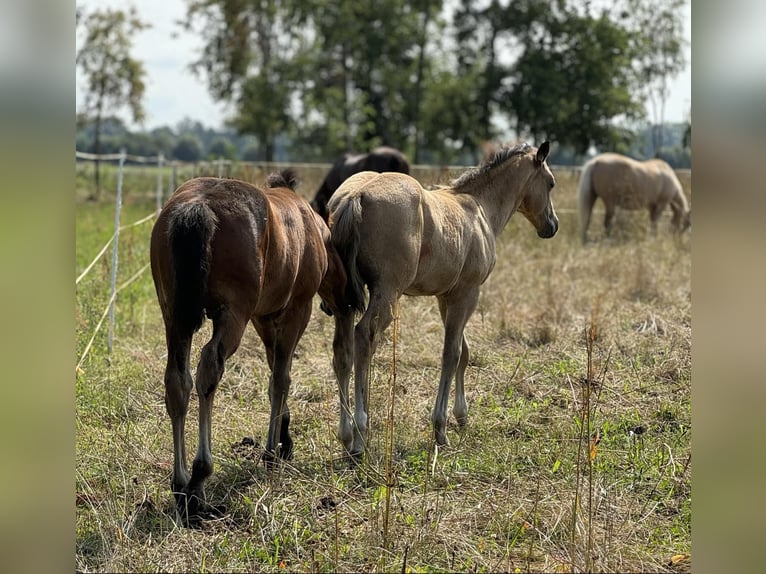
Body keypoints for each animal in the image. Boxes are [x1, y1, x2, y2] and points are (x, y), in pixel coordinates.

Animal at [151, 169, 348, 524]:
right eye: (342, 250)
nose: (350, 298)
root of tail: (199, 207)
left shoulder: (264, 318)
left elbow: (276, 373)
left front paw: (284, 437)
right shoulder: (295, 311)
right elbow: (282, 378)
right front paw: (272, 450)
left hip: (174, 316)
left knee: (177, 381)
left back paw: (180, 483)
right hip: (232, 316)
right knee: (208, 371)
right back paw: (198, 479)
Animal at [328, 141, 560, 460]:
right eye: (550, 183)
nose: (552, 225)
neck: (480, 207)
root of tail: (355, 196)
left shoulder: (445, 297)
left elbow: (464, 351)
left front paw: (462, 415)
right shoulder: (468, 293)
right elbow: (451, 353)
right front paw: (440, 427)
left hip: (345, 300)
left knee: (342, 350)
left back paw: (345, 435)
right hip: (387, 294)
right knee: (364, 338)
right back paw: (360, 436)